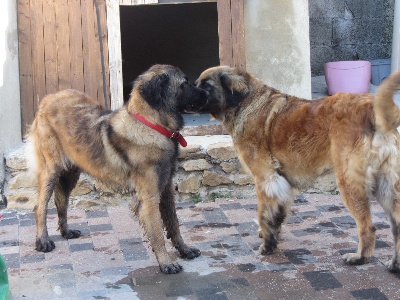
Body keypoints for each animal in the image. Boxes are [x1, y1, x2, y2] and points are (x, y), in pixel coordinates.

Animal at [27, 64, 209, 274]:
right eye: (184, 84)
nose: (207, 93)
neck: (152, 124)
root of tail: (48, 98)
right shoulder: (149, 196)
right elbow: (157, 232)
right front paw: (166, 262)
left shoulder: (166, 189)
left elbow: (174, 224)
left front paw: (184, 250)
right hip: (51, 170)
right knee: (40, 207)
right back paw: (43, 240)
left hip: (70, 173)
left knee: (61, 202)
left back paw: (66, 231)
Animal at [195, 65, 400, 272]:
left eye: (206, 85)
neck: (246, 102)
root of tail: (371, 108)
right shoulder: (282, 181)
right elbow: (278, 212)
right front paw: (273, 234)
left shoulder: (266, 178)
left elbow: (264, 214)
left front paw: (267, 245)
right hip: (386, 185)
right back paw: (395, 264)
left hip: (350, 182)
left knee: (367, 226)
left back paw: (360, 257)